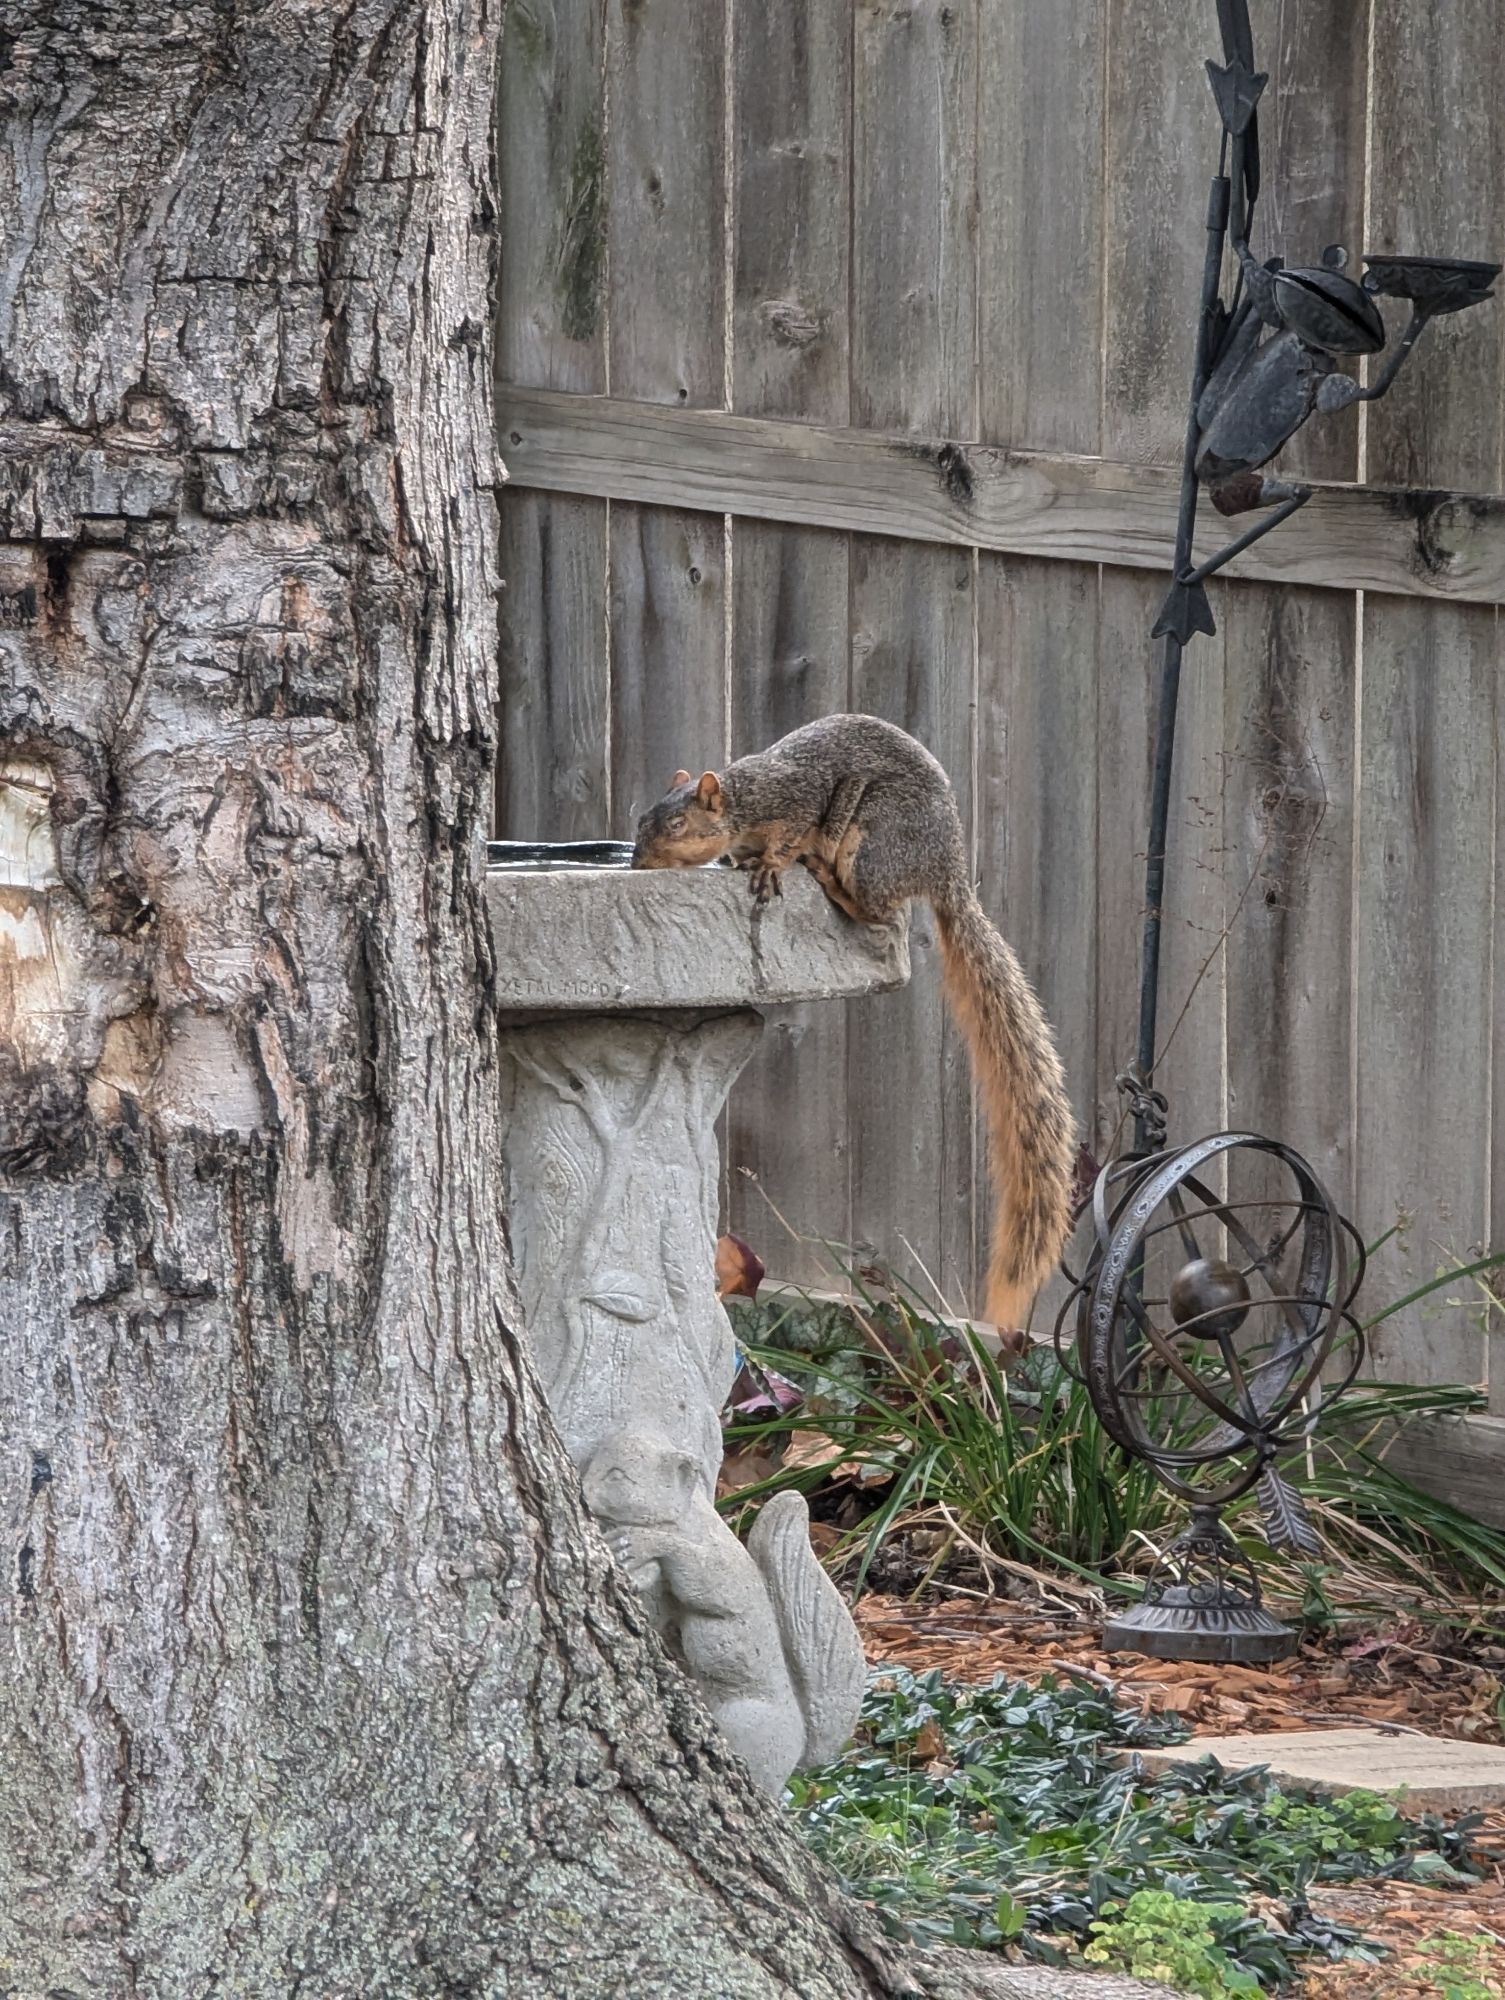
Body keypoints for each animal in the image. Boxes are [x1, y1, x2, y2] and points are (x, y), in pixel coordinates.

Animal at [628, 712, 1072, 1336]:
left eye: (676, 823)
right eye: (642, 819)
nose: (637, 866)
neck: (743, 800)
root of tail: (947, 873)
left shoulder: (794, 799)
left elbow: (788, 835)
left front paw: (769, 864)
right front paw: (739, 862)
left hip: (873, 840)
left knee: (879, 911)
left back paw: (828, 880)